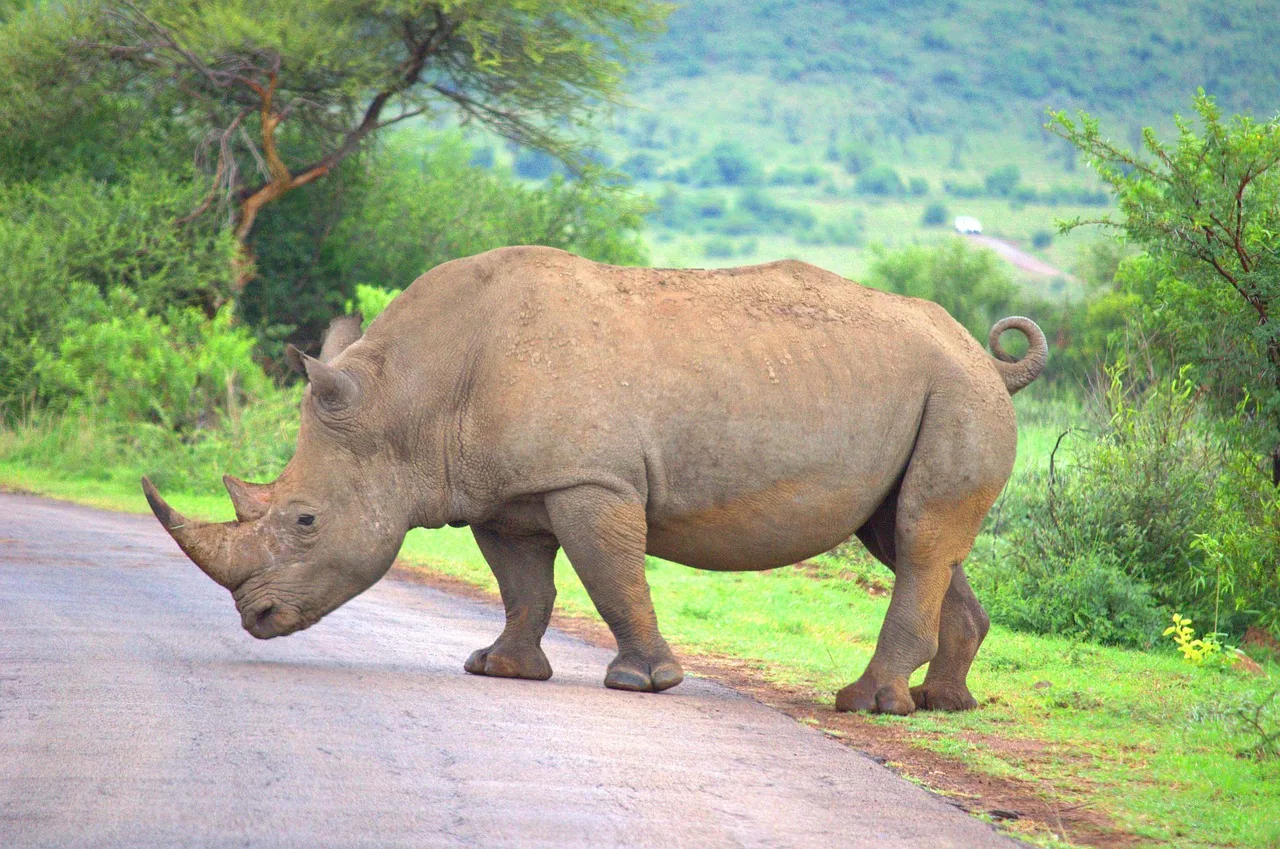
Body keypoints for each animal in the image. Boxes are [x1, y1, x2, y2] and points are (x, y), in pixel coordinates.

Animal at [142, 246, 1045, 715]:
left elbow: (612, 578)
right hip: (938, 389)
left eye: (303, 520)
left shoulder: (591, 481)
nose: (255, 618)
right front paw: (499, 670)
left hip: (956, 390)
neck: (409, 403)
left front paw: (644, 682)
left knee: (920, 536)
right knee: (905, 534)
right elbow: (523, 584)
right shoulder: (503, 492)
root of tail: (985, 354)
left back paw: (866, 703)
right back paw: (944, 704)